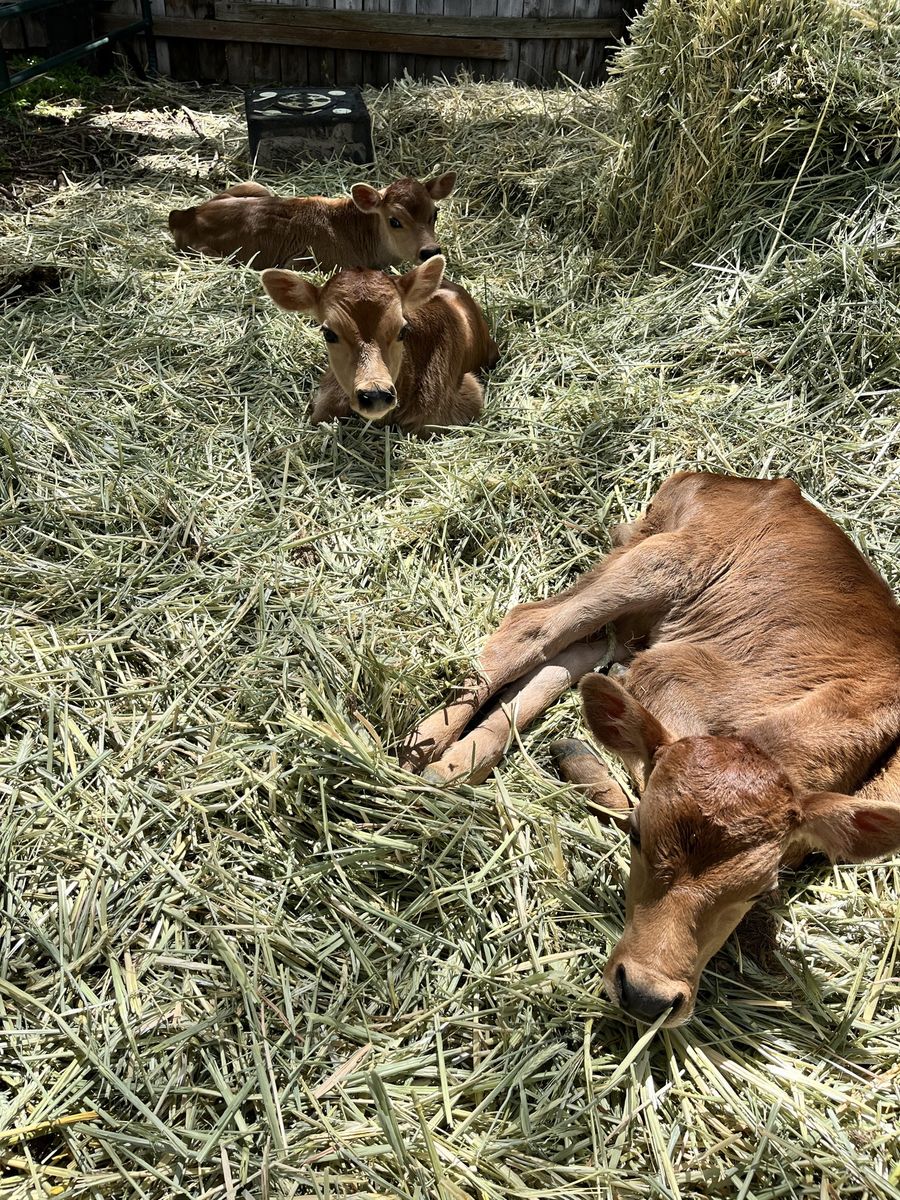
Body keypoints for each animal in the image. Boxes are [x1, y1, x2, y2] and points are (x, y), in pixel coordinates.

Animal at [168, 173, 456, 271]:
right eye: (394, 221)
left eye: (435, 213)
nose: (430, 251)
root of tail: (184, 215)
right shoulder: (302, 261)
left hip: (255, 186)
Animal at [401, 472, 900, 1026]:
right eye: (638, 837)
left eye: (762, 889)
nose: (646, 995)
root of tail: (734, 479)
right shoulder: (671, 675)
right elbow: (645, 756)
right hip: (661, 562)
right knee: (533, 626)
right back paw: (427, 749)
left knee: (574, 657)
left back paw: (463, 760)